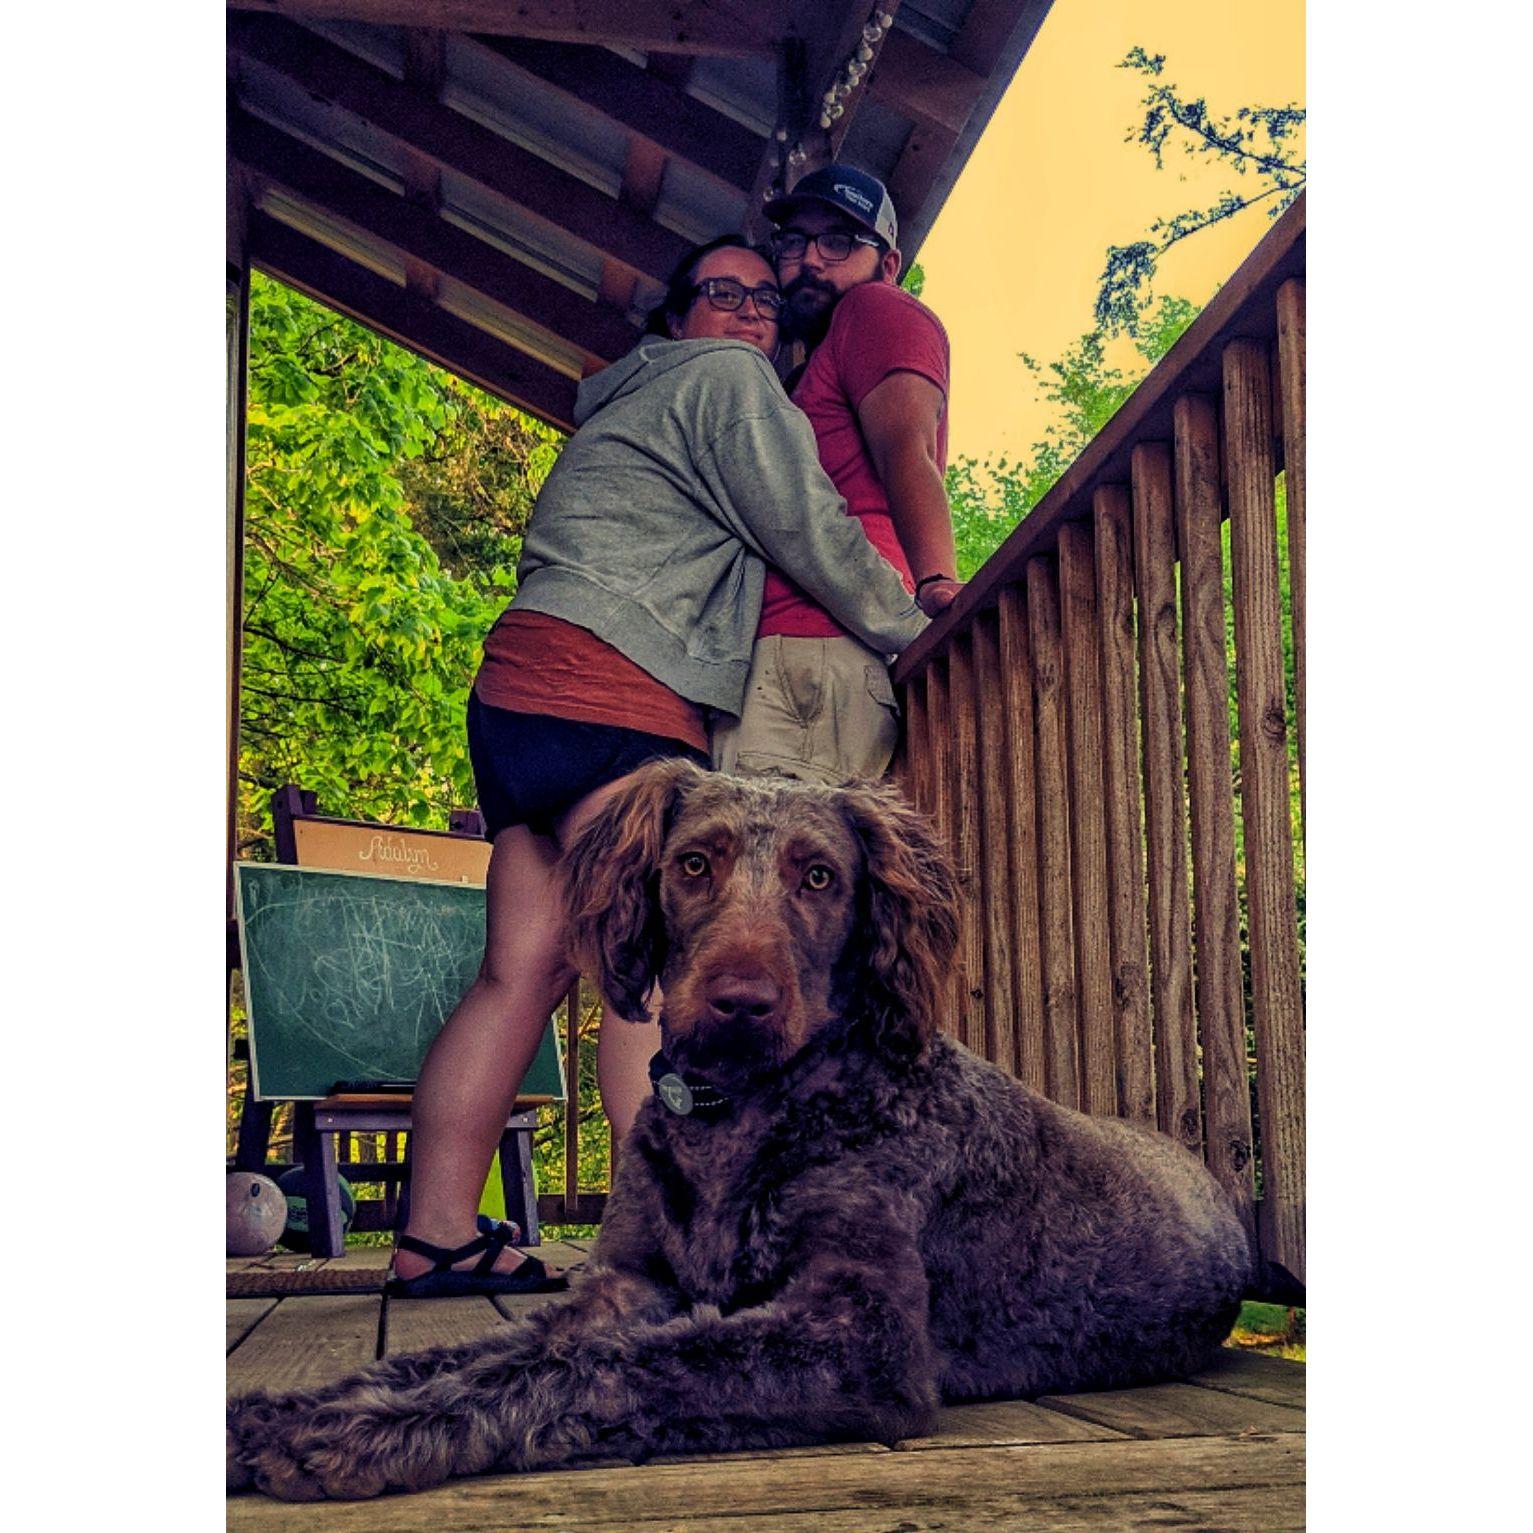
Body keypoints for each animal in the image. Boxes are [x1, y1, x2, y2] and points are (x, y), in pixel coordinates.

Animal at [227, 761, 1253, 1500]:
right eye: (693, 864)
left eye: (819, 877)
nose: (740, 1003)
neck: (746, 1111)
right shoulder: (623, 1285)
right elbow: (476, 1351)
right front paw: (302, 1405)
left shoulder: (861, 1338)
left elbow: (601, 1368)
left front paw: (355, 1435)